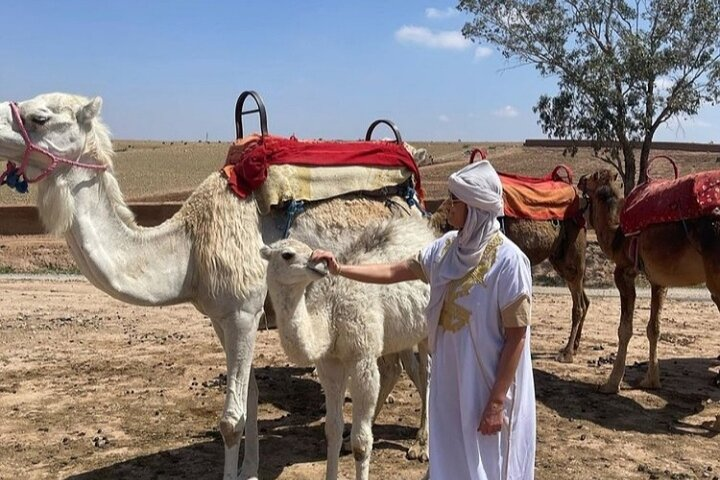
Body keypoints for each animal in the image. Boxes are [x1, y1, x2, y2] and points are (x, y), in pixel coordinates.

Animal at [261, 216, 434, 480]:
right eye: (287, 255)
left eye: (309, 249)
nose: (321, 264)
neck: (331, 315)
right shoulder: (330, 363)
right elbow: (332, 429)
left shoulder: (361, 356)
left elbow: (361, 445)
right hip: (396, 334)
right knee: (396, 370)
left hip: (426, 330)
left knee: (426, 373)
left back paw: (421, 446)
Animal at [431, 198, 590, 362]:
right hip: (559, 258)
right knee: (584, 299)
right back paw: (575, 346)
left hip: (572, 251)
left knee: (578, 304)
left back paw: (567, 353)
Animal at [578, 169, 720, 431]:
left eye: (592, 176)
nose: (580, 179)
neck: (618, 234)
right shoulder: (658, 280)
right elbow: (654, 328)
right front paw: (651, 381)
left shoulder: (623, 271)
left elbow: (625, 329)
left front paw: (611, 384)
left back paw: (714, 423)